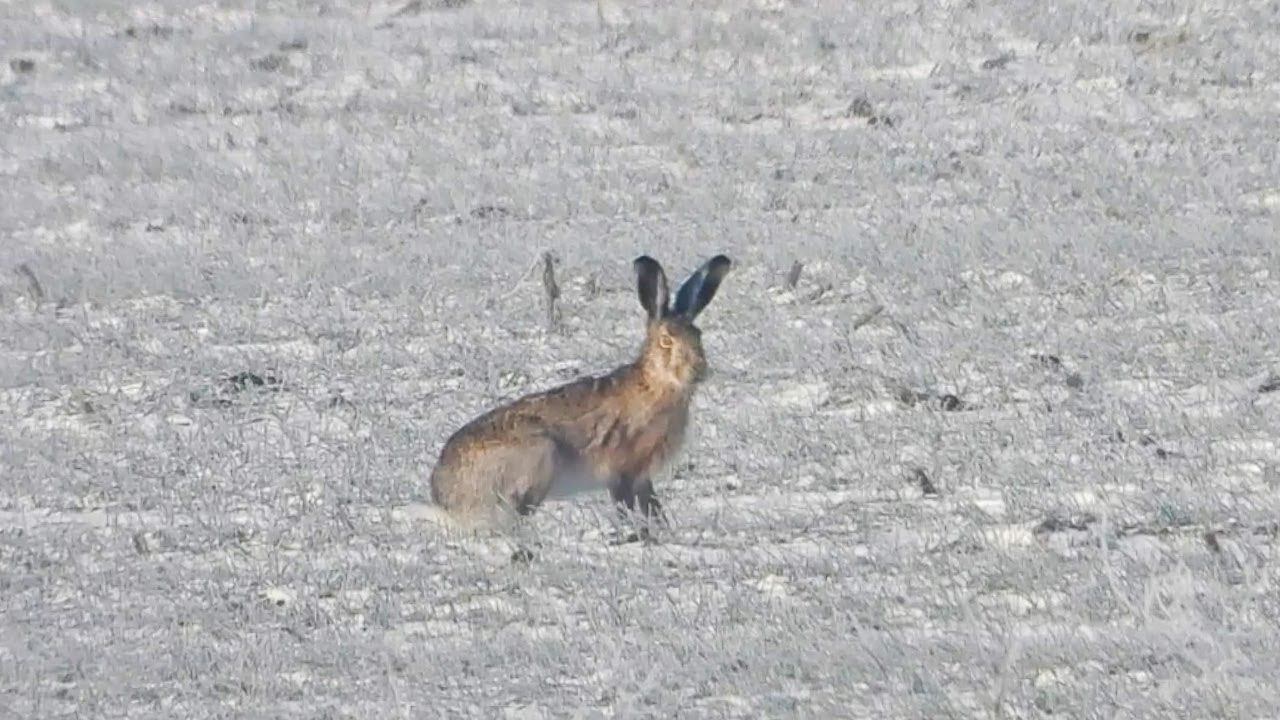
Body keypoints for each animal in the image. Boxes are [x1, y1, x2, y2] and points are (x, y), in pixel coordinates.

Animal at [428, 254, 732, 542]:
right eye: (666, 340)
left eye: (698, 335)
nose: (699, 369)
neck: (658, 384)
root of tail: (445, 498)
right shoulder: (622, 471)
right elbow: (627, 507)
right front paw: (639, 537)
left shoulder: (643, 477)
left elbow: (653, 508)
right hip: (540, 456)